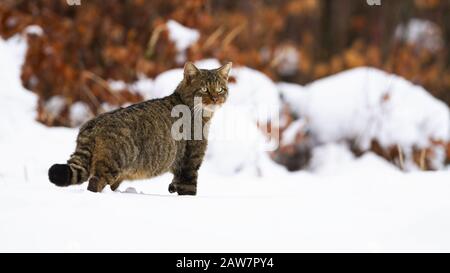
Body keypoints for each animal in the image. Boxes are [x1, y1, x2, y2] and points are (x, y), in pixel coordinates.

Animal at [48, 61, 232, 194]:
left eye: (220, 89)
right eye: (204, 89)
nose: (216, 98)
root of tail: (93, 124)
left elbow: (174, 184)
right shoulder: (189, 164)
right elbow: (189, 190)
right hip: (112, 165)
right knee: (95, 183)